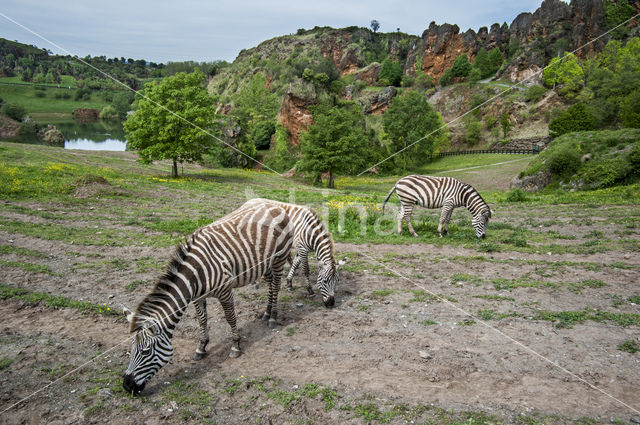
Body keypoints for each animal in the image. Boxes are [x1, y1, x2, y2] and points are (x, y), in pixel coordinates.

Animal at [122, 203, 296, 394]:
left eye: (146, 352)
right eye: (131, 349)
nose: (126, 385)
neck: (195, 275)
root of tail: (275, 206)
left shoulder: (225, 291)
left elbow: (230, 318)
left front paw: (235, 346)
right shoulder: (197, 297)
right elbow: (202, 320)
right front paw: (201, 347)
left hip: (279, 257)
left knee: (276, 285)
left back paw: (273, 317)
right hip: (266, 262)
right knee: (271, 283)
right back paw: (266, 313)